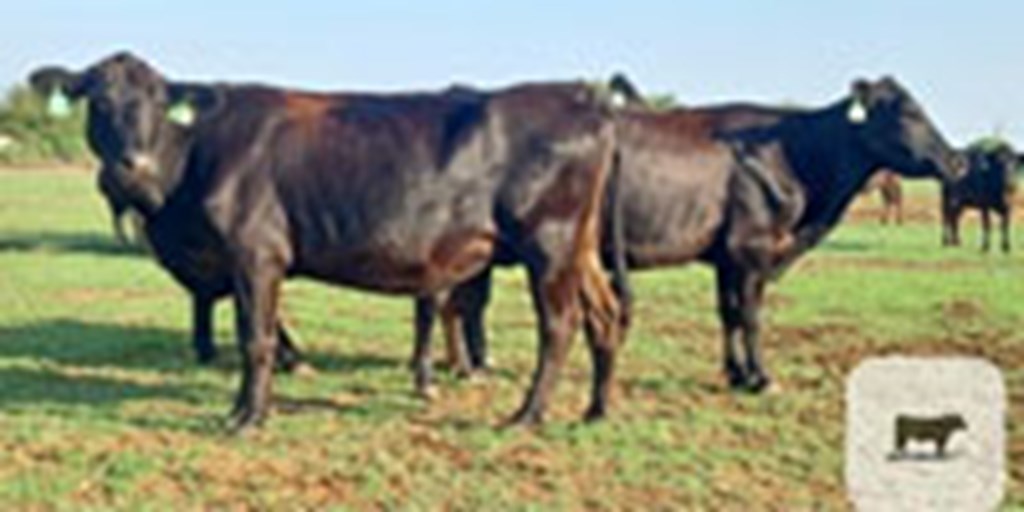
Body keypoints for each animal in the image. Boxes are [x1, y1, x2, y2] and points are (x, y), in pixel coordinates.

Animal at [29, 51, 622, 430]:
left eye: (156, 101)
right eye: (97, 101)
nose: (132, 166)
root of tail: (581, 101)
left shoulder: (256, 253)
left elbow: (256, 338)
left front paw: (247, 418)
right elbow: (261, 332)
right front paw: (252, 407)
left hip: (550, 244)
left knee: (560, 326)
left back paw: (526, 416)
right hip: (581, 249)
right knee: (606, 315)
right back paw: (595, 410)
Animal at [428, 74, 962, 391]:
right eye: (907, 112)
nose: (957, 160)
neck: (792, 151)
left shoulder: (728, 258)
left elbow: (728, 315)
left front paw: (736, 373)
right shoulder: (752, 250)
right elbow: (752, 317)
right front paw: (761, 377)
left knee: (461, 305)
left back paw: (469, 364)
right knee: (459, 304)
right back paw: (463, 367)